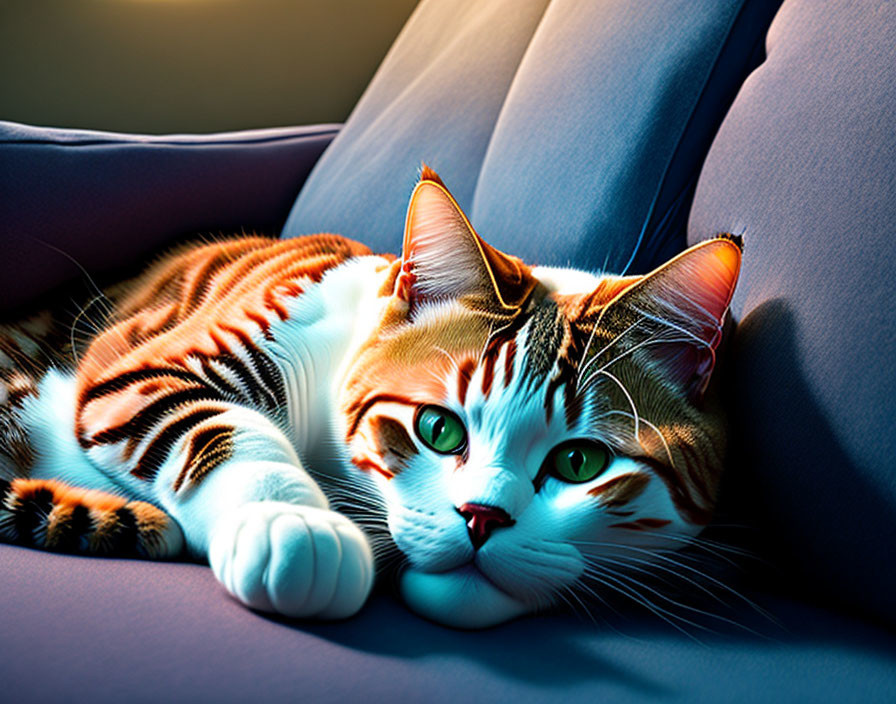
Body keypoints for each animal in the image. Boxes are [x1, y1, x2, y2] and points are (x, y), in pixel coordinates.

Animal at [0, 168, 744, 628]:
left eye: (580, 462)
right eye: (439, 429)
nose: (481, 517)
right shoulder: (152, 363)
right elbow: (221, 427)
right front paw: (297, 528)